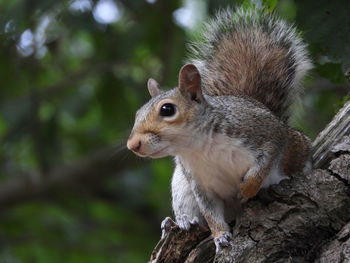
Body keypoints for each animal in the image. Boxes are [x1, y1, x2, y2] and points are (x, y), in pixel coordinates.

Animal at [126, 7, 312, 253]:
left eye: (167, 109)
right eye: (137, 113)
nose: (132, 145)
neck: (200, 147)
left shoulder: (266, 134)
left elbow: (265, 162)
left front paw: (246, 189)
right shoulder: (200, 183)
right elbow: (211, 213)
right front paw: (220, 236)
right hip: (181, 186)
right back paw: (179, 221)